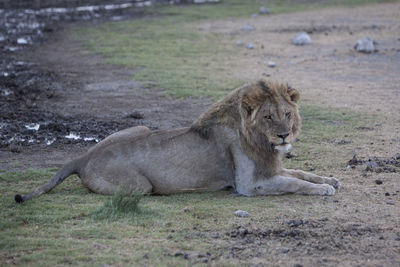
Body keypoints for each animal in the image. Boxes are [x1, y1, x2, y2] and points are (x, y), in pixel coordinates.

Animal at [16, 80, 340, 204]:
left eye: (287, 113)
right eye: (269, 117)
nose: (284, 135)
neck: (262, 142)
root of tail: (82, 157)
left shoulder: (269, 167)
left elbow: (300, 173)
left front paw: (330, 180)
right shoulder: (249, 184)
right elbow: (293, 183)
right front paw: (323, 189)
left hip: (141, 126)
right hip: (140, 187)